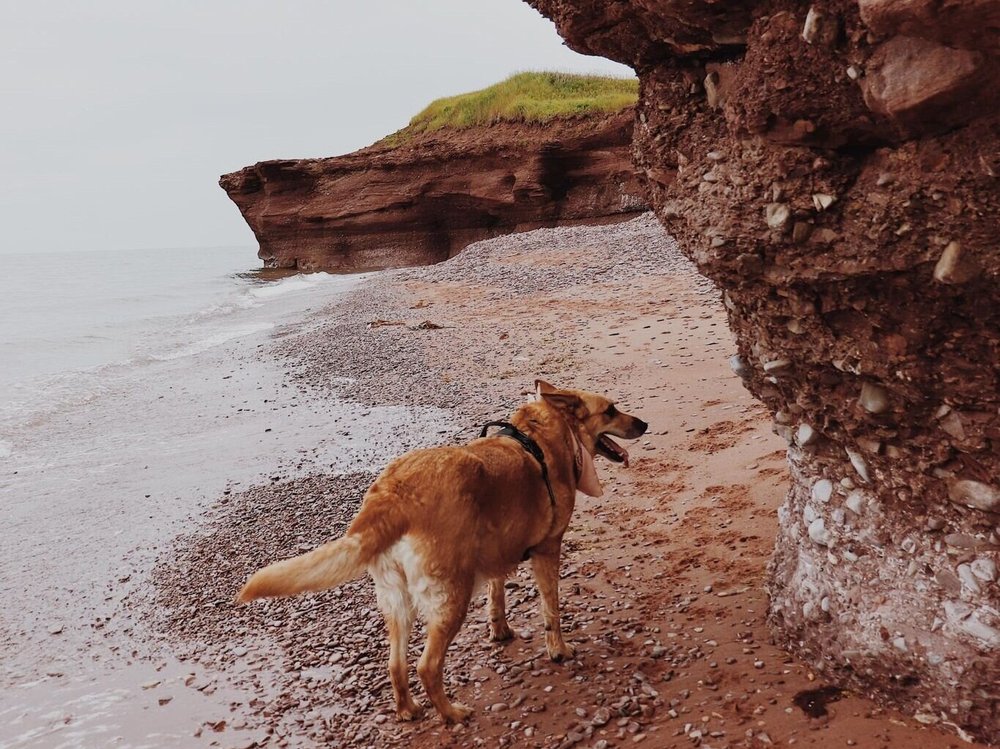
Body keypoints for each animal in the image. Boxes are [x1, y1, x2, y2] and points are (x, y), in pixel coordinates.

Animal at [239, 382, 652, 720]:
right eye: (611, 410)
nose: (644, 424)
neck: (543, 433)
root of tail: (391, 496)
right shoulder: (548, 550)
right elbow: (551, 608)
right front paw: (558, 649)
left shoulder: (496, 552)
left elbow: (497, 595)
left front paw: (500, 630)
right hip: (450, 598)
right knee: (426, 666)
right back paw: (452, 714)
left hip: (397, 603)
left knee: (395, 665)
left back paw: (408, 710)